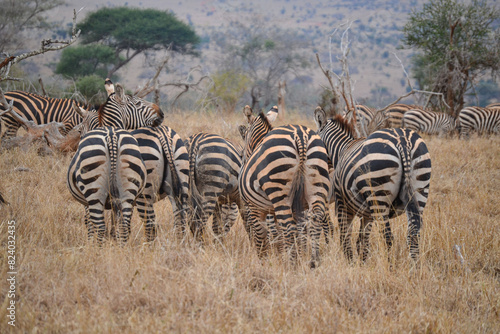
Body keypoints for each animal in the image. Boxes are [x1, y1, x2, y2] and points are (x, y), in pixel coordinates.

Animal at [239, 105, 332, 268]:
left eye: (244, 136)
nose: (243, 158)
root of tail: (300, 136)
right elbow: (286, 235)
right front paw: (289, 256)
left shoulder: (254, 207)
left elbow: (261, 236)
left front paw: (265, 263)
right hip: (317, 184)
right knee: (315, 221)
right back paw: (313, 261)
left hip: (279, 192)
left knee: (288, 229)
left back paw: (291, 265)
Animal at [314, 108, 432, 262]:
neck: (342, 149)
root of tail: (402, 142)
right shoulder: (367, 213)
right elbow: (362, 240)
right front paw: (362, 262)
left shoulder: (342, 202)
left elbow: (345, 236)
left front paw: (349, 261)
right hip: (420, 190)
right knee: (413, 235)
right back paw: (414, 266)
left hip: (379, 196)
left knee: (388, 238)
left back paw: (389, 266)